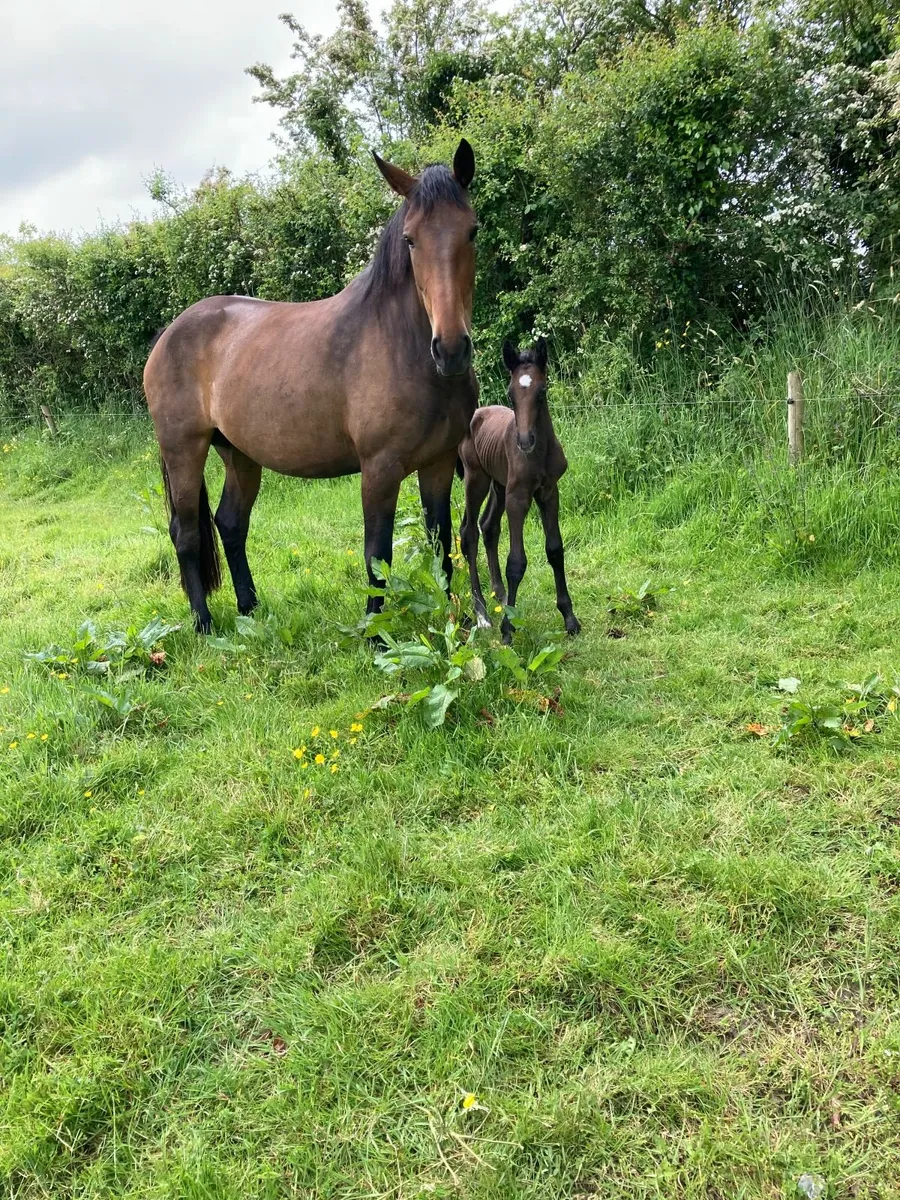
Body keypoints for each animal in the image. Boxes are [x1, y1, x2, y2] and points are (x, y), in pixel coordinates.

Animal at [143, 140, 479, 633]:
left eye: (472, 231)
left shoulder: (437, 463)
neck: (402, 348)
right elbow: (376, 553)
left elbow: (440, 545)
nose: (451, 349)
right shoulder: (379, 470)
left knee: (230, 523)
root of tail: (168, 335)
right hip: (184, 449)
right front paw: (375, 633)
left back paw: (250, 609)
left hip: (239, 454)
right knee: (185, 533)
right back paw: (204, 623)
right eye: (410, 239)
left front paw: (452, 619)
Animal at [457, 337, 581, 643]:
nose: (524, 441)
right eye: (511, 394)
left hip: (499, 484)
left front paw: (569, 618)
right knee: (469, 533)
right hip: (476, 480)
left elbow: (555, 550)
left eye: (542, 391)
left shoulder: (549, 492)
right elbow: (516, 562)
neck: (539, 454)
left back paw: (501, 597)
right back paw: (483, 615)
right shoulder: (518, 498)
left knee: (488, 526)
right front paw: (507, 631)